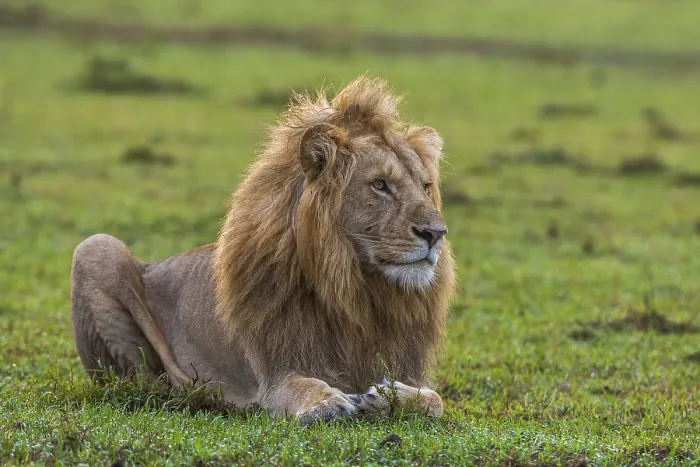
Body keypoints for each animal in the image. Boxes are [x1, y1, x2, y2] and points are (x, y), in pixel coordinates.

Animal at [70, 75, 456, 424]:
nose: (436, 233)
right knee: (139, 381)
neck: (355, 291)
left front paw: (389, 395)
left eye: (426, 186)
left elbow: (434, 400)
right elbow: (302, 385)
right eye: (380, 185)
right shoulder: (274, 374)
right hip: (96, 247)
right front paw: (327, 403)